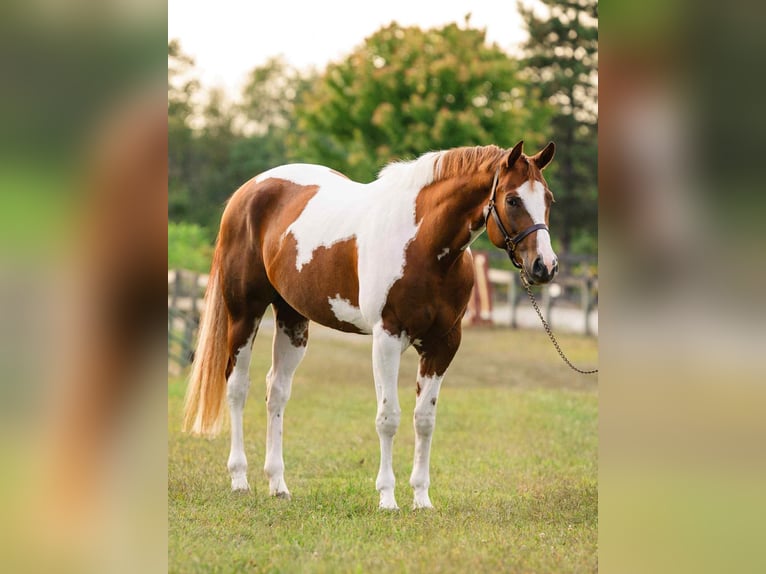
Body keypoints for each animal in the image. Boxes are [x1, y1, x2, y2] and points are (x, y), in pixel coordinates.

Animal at [182, 140, 559, 510]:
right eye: (512, 199)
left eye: (549, 199)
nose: (544, 267)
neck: (422, 243)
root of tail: (248, 190)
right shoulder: (387, 338)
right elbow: (388, 417)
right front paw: (387, 498)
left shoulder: (443, 344)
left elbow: (424, 421)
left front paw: (421, 498)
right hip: (244, 314)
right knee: (237, 387)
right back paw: (239, 479)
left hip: (292, 319)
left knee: (276, 392)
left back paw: (278, 484)